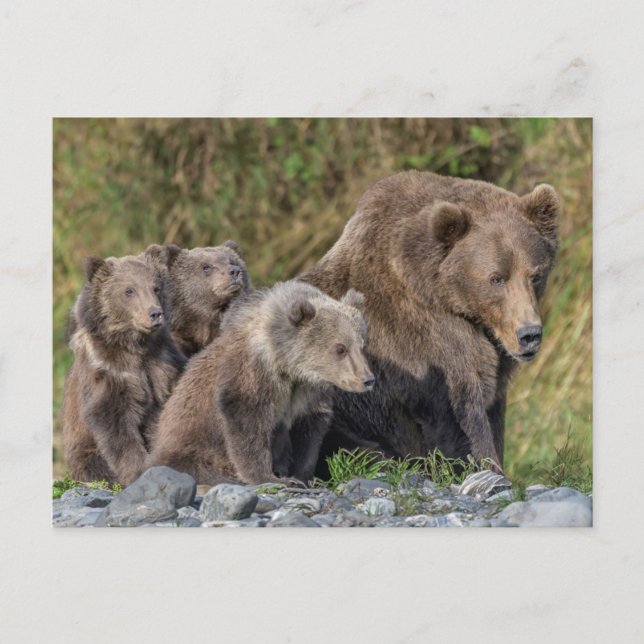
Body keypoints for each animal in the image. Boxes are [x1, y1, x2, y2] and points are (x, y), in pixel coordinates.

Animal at [61, 249, 187, 485]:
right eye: (129, 290)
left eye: (155, 287)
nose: (155, 313)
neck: (135, 345)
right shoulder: (109, 372)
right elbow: (114, 423)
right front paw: (138, 470)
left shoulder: (162, 362)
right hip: (83, 451)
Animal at [146, 282, 375, 486]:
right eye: (340, 348)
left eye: (361, 345)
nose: (368, 379)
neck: (288, 365)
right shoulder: (254, 373)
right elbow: (247, 421)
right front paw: (269, 477)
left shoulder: (308, 393)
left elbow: (309, 432)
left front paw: (301, 476)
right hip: (190, 447)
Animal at [298, 170, 560, 474]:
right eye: (496, 278)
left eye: (536, 275)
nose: (529, 334)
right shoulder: (424, 344)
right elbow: (462, 416)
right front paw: (487, 467)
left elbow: (494, 410)